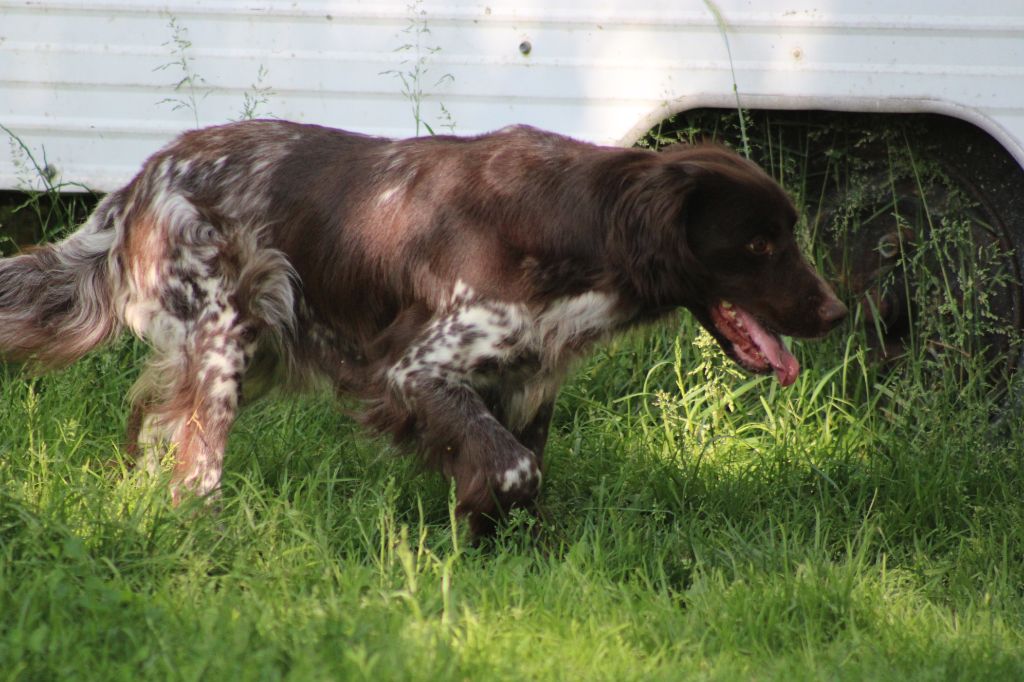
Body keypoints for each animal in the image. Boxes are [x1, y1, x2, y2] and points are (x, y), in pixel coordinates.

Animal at [0, 122, 843, 532]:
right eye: (759, 245)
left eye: (788, 235)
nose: (836, 313)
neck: (580, 232)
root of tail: (142, 178)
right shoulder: (415, 373)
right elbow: (513, 470)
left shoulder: (527, 383)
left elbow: (525, 474)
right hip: (224, 338)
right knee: (193, 462)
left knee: (154, 433)